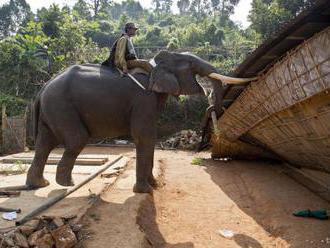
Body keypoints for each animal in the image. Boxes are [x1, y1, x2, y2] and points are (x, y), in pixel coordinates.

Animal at [25, 50, 255, 194]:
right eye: (190, 64)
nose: (210, 105)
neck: (156, 63)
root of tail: (42, 88)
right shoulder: (143, 99)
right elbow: (144, 135)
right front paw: (145, 191)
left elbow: (149, 137)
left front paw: (154, 185)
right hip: (61, 106)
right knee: (75, 139)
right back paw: (66, 183)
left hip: (53, 109)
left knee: (44, 144)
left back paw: (39, 184)